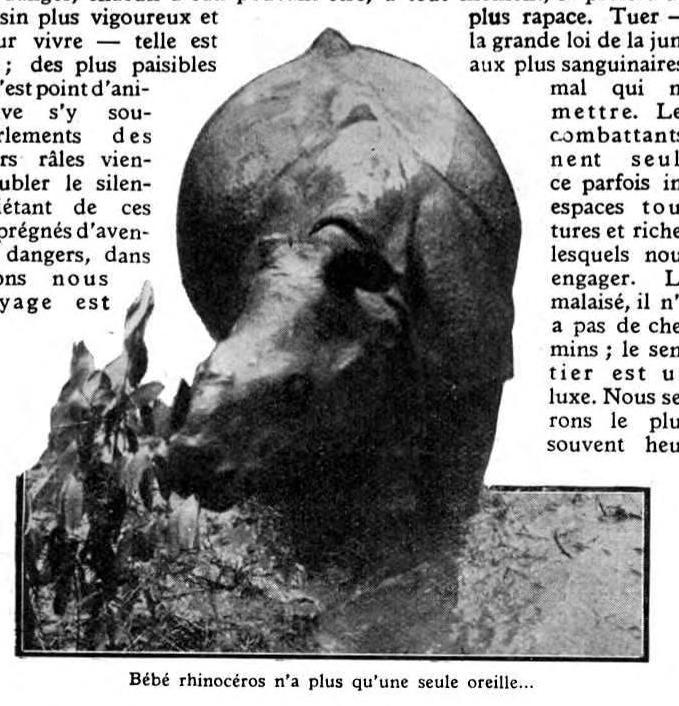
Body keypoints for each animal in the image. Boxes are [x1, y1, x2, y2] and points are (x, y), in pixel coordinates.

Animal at [169, 29, 521, 535]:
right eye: (199, 369)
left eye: (296, 389)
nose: (188, 460)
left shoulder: (473, 358)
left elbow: (455, 474)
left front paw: (432, 529)